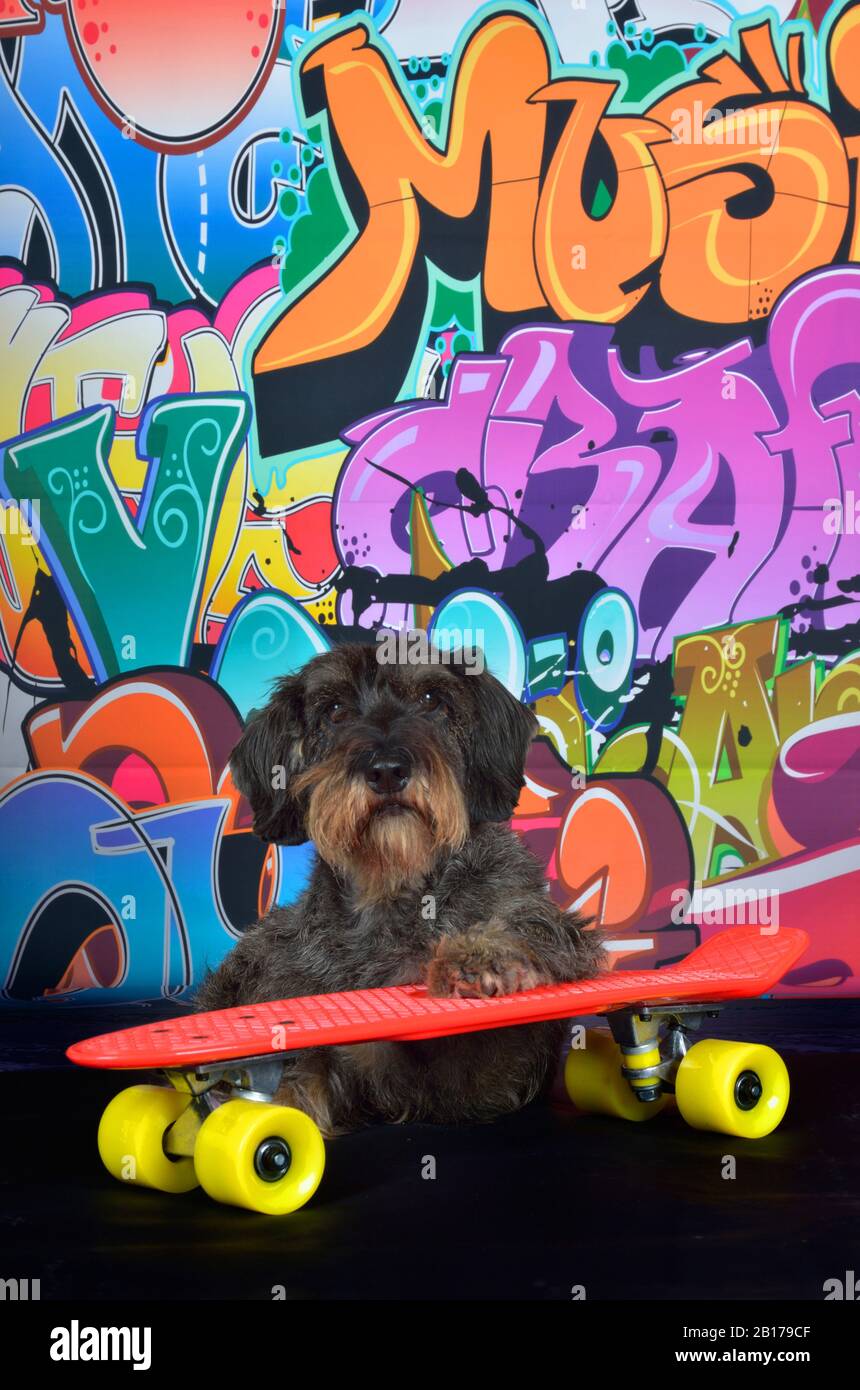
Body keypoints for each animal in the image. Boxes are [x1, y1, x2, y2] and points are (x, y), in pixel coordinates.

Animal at [197, 644, 605, 1134]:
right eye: (334, 710)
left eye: (431, 699)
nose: (387, 770)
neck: (396, 893)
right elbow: (294, 1074)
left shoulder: (496, 1060)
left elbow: (529, 922)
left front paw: (480, 954)